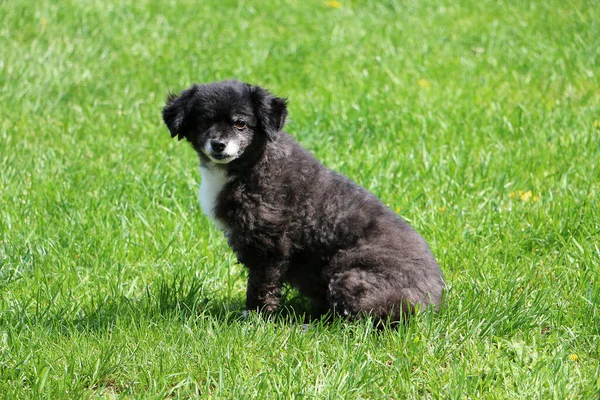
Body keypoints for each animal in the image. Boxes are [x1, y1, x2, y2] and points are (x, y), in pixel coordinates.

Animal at [164, 79, 446, 324]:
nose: (219, 144)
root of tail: (434, 303)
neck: (253, 163)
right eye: (204, 121)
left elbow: (260, 287)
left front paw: (254, 320)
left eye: (240, 124)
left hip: (347, 274)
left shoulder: (270, 245)